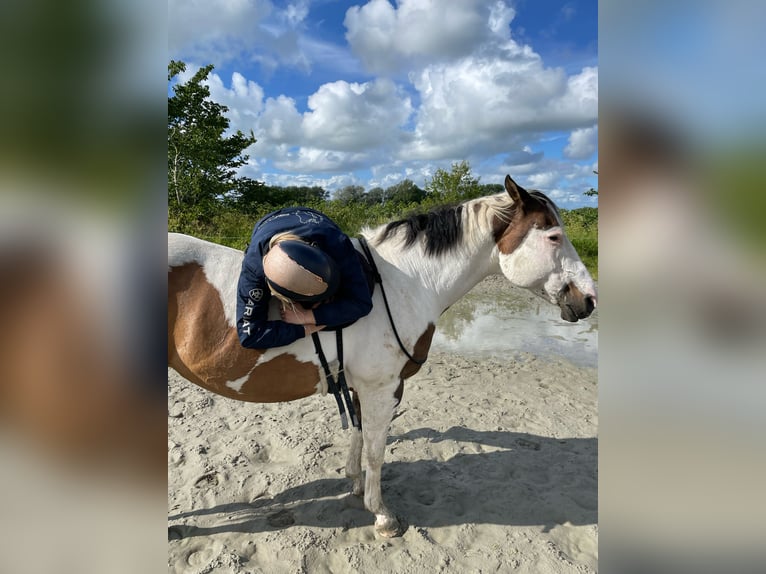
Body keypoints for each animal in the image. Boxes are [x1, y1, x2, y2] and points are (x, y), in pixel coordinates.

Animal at [170, 176, 600, 540]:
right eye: (554, 236)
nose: (589, 299)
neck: (402, 282)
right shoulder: (384, 388)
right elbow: (377, 451)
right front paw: (381, 515)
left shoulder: (361, 386)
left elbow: (360, 436)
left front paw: (354, 485)